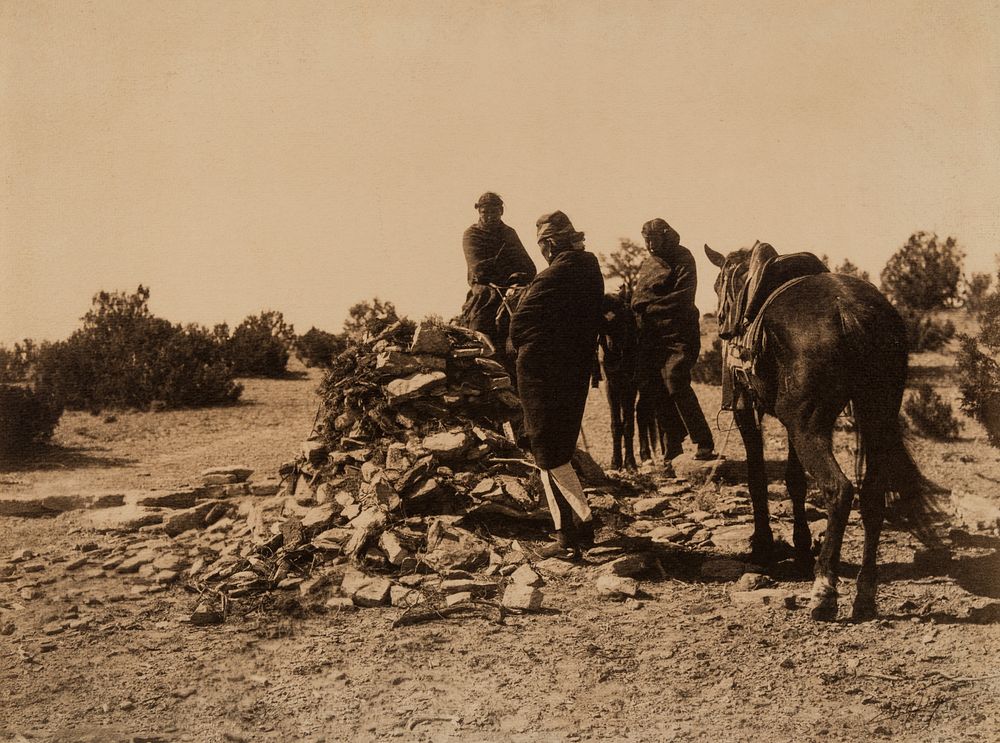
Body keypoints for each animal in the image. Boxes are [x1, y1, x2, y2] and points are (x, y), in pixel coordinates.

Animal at [700, 244, 940, 620]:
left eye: (717, 285)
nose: (724, 327)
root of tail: (851, 312)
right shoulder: (791, 424)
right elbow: (794, 480)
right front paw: (800, 546)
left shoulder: (748, 411)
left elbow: (758, 478)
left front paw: (763, 545)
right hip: (874, 417)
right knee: (872, 496)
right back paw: (864, 594)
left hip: (809, 427)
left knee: (838, 490)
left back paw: (824, 591)